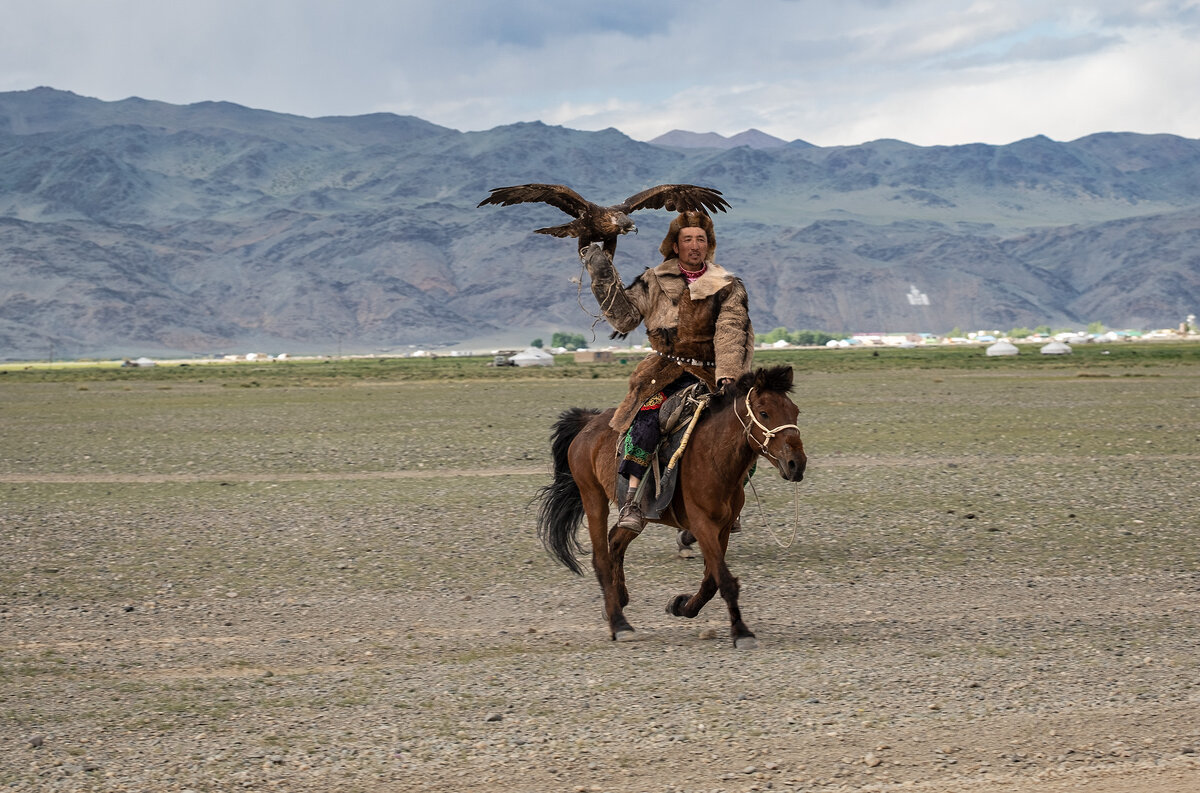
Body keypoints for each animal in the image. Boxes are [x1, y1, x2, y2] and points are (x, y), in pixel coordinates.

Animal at [535, 362, 806, 643]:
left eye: (795, 411)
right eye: (764, 413)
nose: (796, 464)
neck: (713, 456)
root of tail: (589, 422)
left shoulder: (722, 528)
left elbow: (712, 580)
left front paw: (681, 605)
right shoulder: (701, 524)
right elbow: (724, 579)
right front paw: (741, 632)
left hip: (640, 513)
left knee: (615, 542)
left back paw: (618, 601)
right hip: (592, 496)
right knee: (601, 557)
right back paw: (619, 623)